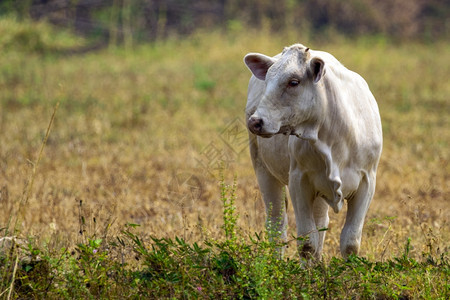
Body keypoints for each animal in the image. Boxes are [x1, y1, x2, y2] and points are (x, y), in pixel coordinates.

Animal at [244, 44, 382, 258]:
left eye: (294, 82)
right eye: (267, 80)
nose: (255, 122)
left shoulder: (367, 182)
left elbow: (350, 243)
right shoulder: (299, 181)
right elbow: (307, 243)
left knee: (320, 223)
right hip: (263, 169)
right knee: (277, 225)